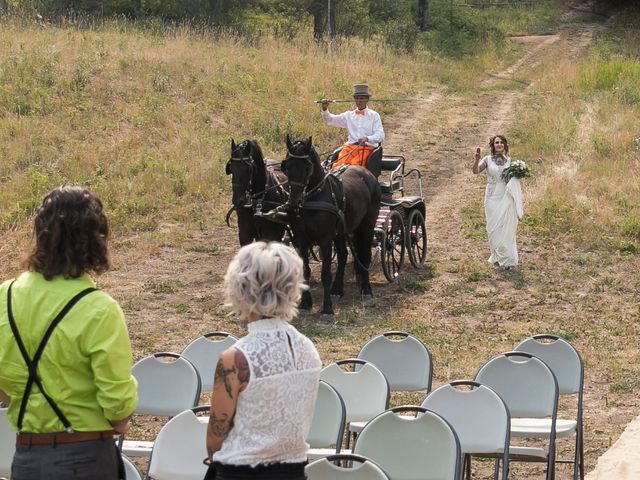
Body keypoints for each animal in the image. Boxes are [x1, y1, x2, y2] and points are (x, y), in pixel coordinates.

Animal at [282, 135, 380, 316]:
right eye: (286, 165)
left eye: (307, 167)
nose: (293, 202)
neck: (313, 199)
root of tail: (367, 173)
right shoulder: (301, 240)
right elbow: (305, 271)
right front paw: (305, 303)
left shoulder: (325, 240)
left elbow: (325, 274)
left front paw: (327, 307)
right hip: (341, 232)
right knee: (343, 255)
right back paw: (337, 289)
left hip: (367, 225)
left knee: (364, 255)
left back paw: (366, 289)